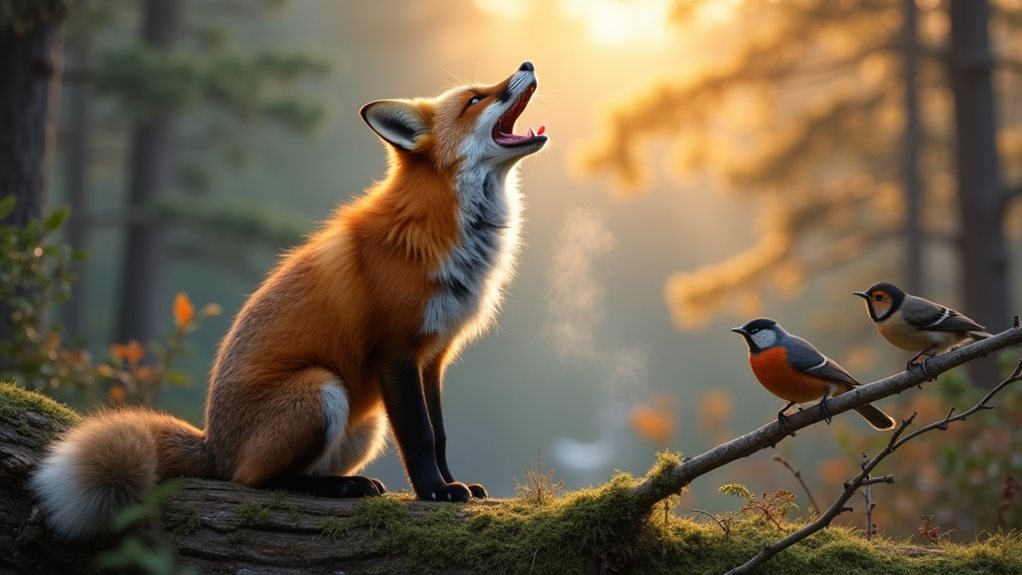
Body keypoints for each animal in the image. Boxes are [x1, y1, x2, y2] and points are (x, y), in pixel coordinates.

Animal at [30, 61, 548, 539]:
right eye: (475, 99)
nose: (527, 64)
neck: (443, 231)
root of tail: (213, 444)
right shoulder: (396, 350)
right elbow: (420, 436)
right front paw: (434, 492)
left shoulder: (433, 357)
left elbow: (439, 433)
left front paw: (454, 484)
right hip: (323, 390)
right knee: (257, 480)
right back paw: (341, 488)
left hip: (366, 423)